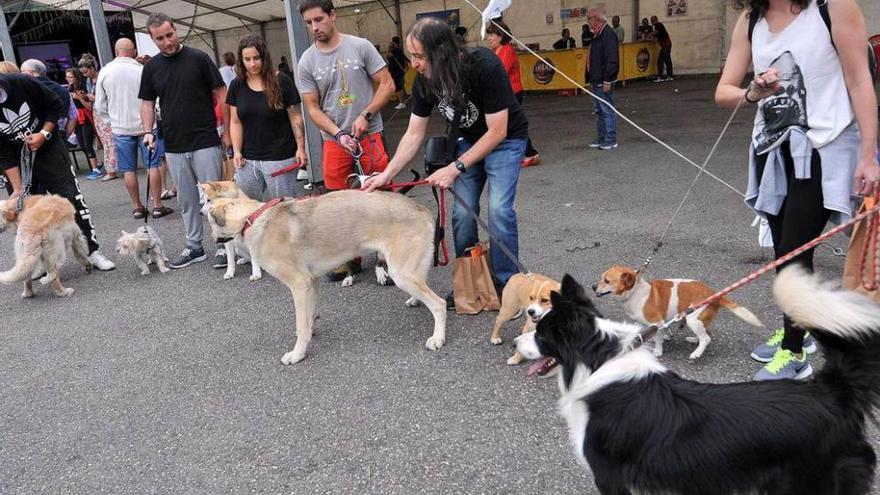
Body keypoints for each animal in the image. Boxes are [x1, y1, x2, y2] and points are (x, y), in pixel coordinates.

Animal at [201, 190, 446, 364]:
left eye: (210, 221)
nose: (212, 238)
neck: (252, 218)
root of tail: (420, 207)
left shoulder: (299, 284)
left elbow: (300, 325)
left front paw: (297, 354)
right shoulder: (312, 282)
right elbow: (309, 318)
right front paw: (309, 334)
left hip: (401, 273)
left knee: (439, 304)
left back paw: (438, 338)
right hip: (407, 270)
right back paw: (415, 300)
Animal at [592, 268, 764, 360]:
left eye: (607, 281)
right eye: (601, 277)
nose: (593, 286)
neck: (635, 292)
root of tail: (716, 295)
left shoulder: (658, 322)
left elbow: (658, 339)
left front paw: (658, 351)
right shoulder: (654, 322)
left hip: (693, 319)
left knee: (706, 338)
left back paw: (696, 353)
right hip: (698, 319)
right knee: (706, 334)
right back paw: (694, 340)